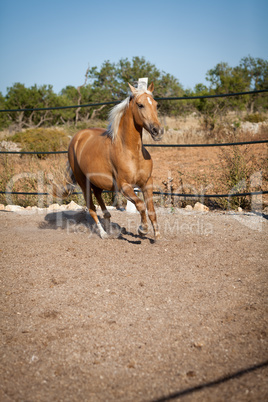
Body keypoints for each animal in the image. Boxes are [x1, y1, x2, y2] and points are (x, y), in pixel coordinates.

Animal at [56, 81, 163, 239]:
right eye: (140, 105)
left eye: (156, 104)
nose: (158, 131)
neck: (131, 152)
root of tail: (77, 137)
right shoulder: (124, 186)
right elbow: (140, 205)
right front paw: (142, 229)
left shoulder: (147, 183)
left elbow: (151, 210)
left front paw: (157, 235)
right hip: (83, 182)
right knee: (92, 208)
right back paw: (103, 234)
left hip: (97, 182)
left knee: (101, 203)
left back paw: (110, 228)